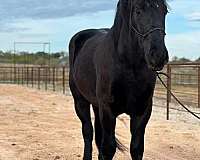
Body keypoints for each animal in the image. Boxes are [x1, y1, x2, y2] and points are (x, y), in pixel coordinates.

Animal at [69, 0, 169, 159]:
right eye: (138, 11)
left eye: (164, 11)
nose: (158, 56)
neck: (128, 65)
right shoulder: (108, 110)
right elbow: (109, 148)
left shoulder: (142, 111)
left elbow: (136, 148)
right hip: (80, 102)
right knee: (88, 131)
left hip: (97, 105)